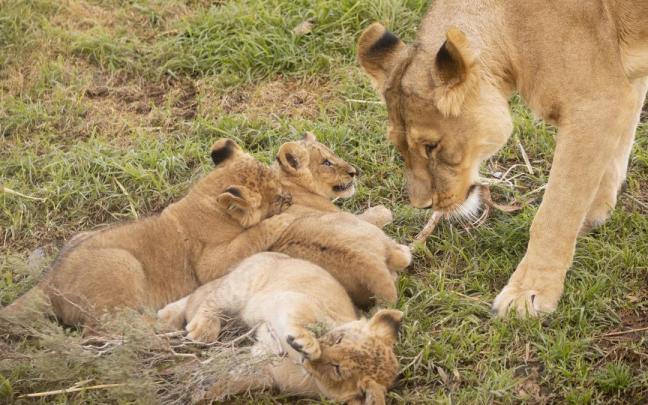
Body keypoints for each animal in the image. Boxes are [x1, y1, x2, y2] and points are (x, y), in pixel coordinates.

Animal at [1, 139, 293, 326]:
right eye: (278, 197)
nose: (290, 197)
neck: (206, 200)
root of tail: (49, 281)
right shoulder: (208, 264)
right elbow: (251, 237)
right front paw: (285, 218)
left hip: (81, 237)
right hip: (122, 265)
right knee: (108, 329)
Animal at [157, 252, 401, 404]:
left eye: (337, 370)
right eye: (339, 339)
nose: (306, 357)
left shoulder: (265, 369)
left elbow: (232, 378)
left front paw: (195, 390)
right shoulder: (297, 300)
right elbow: (299, 319)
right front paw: (307, 343)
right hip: (242, 286)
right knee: (210, 297)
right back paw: (199, 328)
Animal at [269, 132, 412, 307]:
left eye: (334, 154)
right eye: (326, 162)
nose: (355, 172)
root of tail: (366, 262)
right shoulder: (339, 212)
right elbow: (368, 216)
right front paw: (383, 211)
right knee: (400, 258)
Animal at [357, 1, 648, 317]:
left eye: (431, 146)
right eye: (399, 147)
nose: (423, 205)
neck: (511, 30)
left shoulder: (595, 103)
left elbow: (555, 212)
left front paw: (529, 292)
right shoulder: (620, 90)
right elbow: (618, 146)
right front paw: (594, 213)